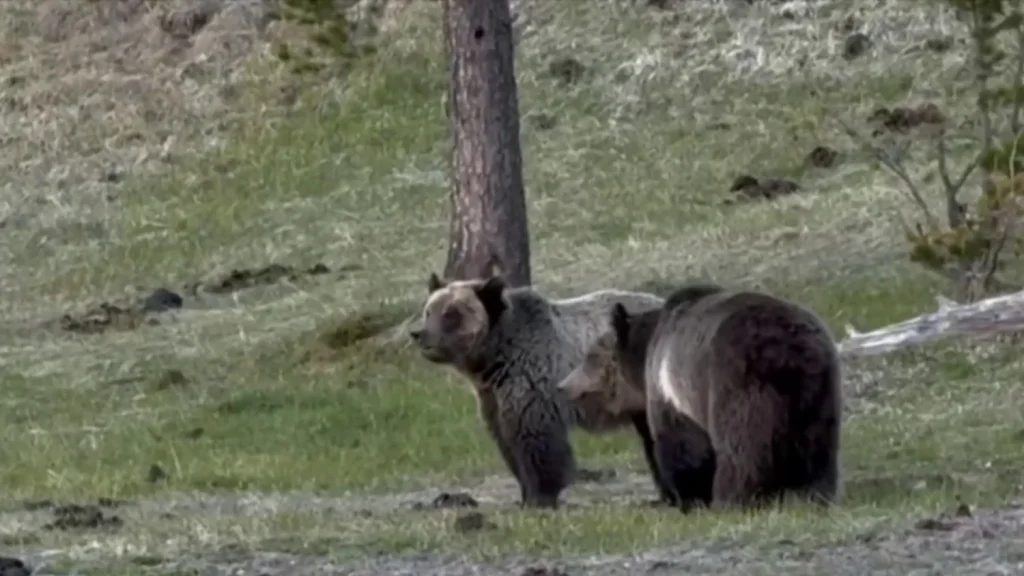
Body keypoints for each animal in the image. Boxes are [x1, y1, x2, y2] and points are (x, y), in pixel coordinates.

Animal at [408, 272, 668, 509]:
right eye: (429, 311)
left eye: (451, 314)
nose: (420, 334)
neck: (494, 359)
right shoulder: (492, 396)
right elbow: (507, 442)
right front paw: (524, 496)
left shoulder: (532, 381)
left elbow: (537, 442)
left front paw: (540, 497)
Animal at [557, 282, 843, 511]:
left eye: (590, 356)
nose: (563, 387)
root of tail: (786, 349)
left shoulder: (671, 391)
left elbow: (681, 445)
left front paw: (689, 497)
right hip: (817, 388)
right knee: (817, 445)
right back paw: (813, 493)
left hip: (736, 381)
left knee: (741, 446)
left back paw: (732, 498)